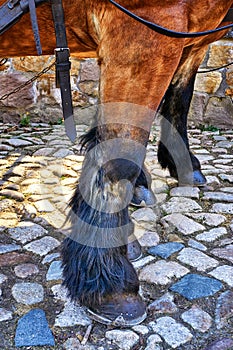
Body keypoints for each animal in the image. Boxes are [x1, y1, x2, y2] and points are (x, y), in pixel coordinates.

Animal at [0, 0, 232, 326]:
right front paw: (109, 282)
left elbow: (180, 97)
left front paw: (181, 166)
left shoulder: (190, 41)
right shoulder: (146, 31)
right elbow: (120, 156)